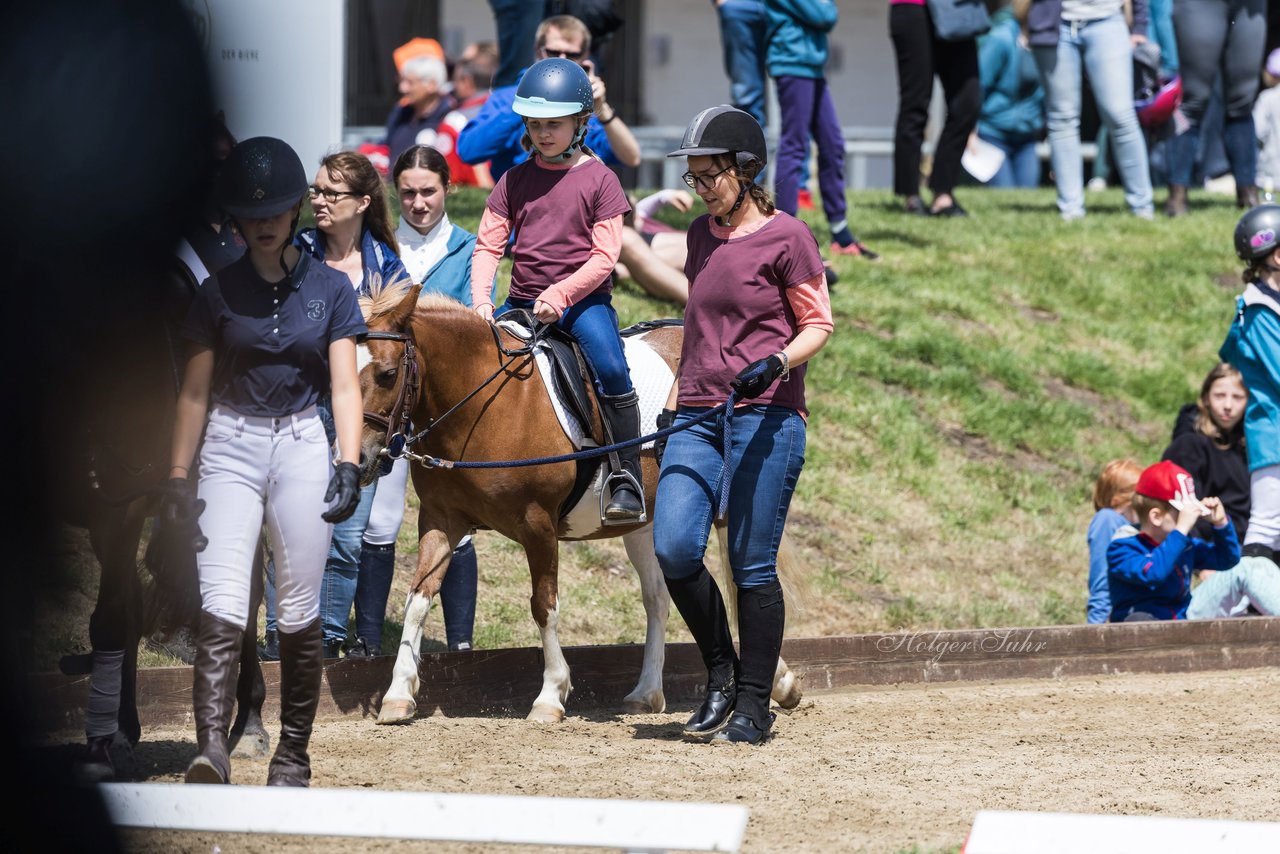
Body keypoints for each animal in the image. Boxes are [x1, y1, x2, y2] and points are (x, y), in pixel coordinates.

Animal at [360, 284, 798, 727]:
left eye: (388, 374)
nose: (361, 458)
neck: (484, 406)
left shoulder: (538, 525)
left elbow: (544, 606)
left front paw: (550, 695)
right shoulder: (440, 518)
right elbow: (417, 599)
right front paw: (398, 695)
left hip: (726, 508)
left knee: (737, 582)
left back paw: (780, 682)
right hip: (645, 523)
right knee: (658, 598)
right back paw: (646, 694)